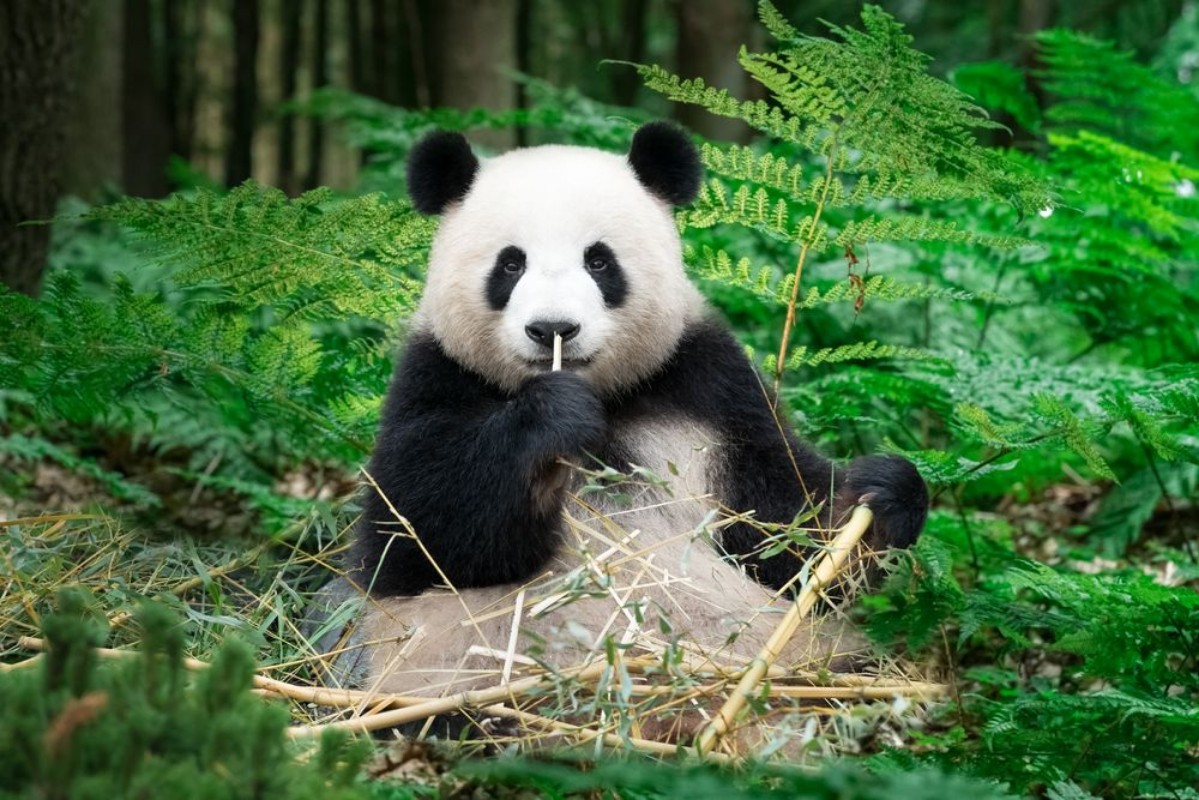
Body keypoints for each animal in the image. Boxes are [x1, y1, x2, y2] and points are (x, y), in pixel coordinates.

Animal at [342, 122, 928, 710]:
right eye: (510, 264)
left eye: (599, 261)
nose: (553, 329)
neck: (605, 396)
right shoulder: (434, 376)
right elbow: (415, 535)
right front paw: (550, 421)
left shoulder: (708, 387)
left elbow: (781, 527)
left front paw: (881, 496)